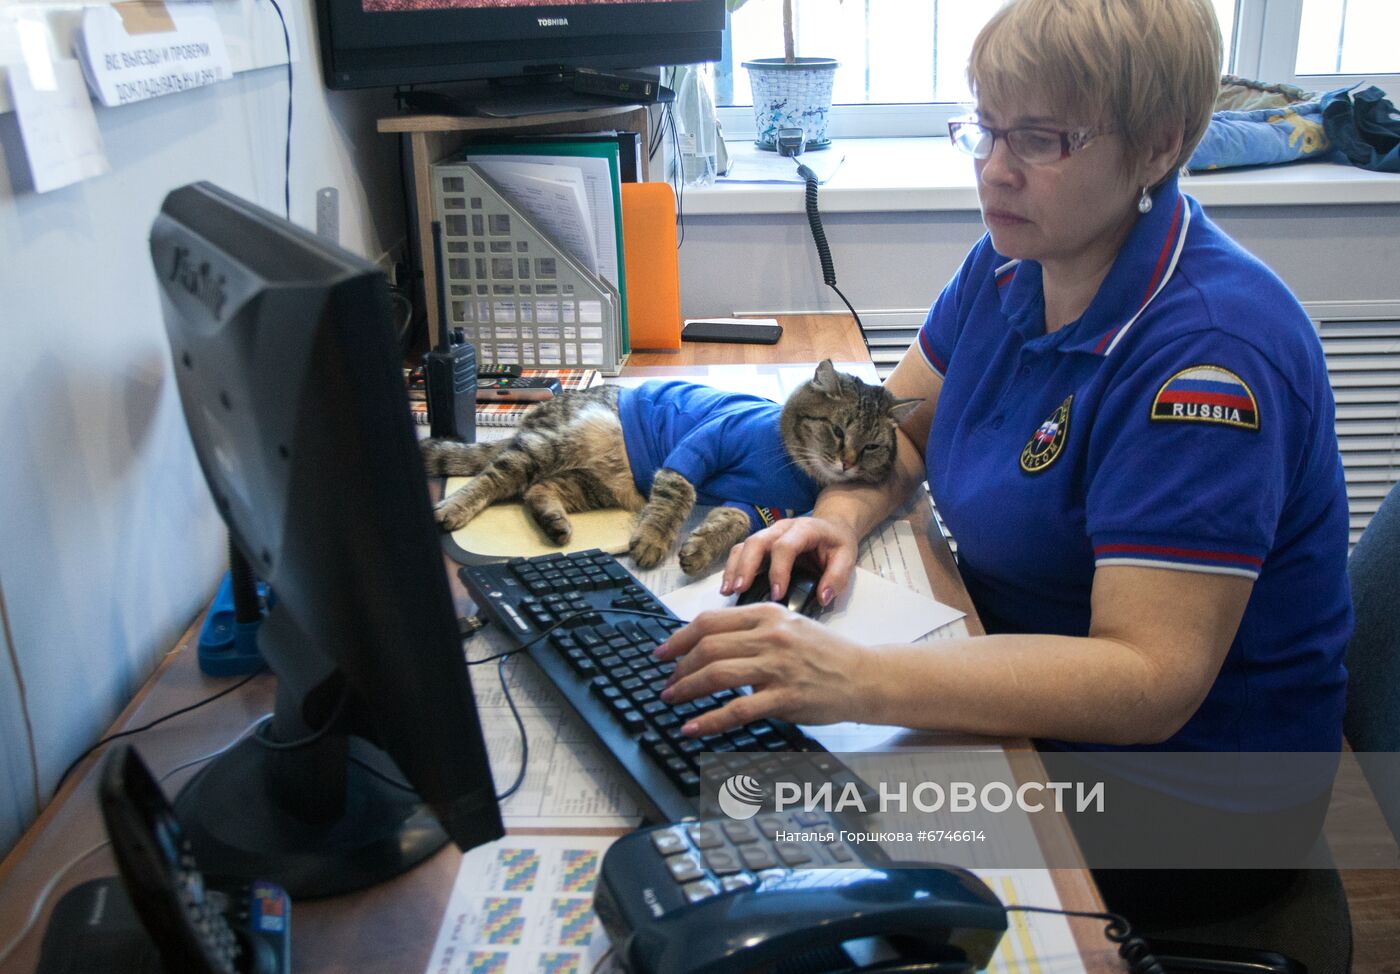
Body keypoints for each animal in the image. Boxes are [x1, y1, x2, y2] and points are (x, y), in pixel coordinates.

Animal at [417, 363, 918, 579]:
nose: (847, 462)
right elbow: (680, 494)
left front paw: (701, 549)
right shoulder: (701, 443)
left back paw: (555, 523)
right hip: (549, 448)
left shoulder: (756, 504)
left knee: (538, 490)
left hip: (593, 484)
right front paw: (656, 539)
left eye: (871, 446)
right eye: (837, 430)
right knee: (496, 477)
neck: (793, 467)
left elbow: (730, 523)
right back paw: (452, 510)